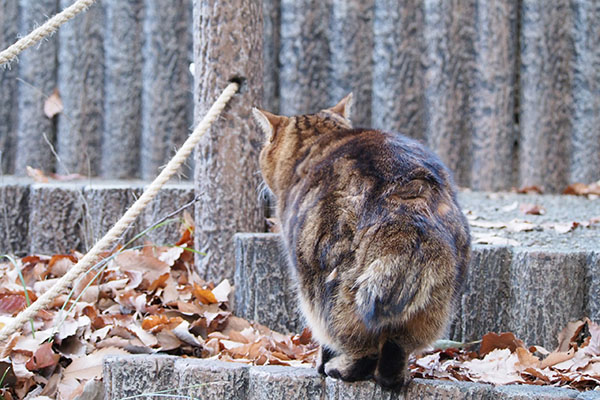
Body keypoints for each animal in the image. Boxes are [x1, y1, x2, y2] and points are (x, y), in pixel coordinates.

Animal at [251, 94, 472, 388]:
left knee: (360, 347)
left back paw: (338, 369)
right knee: (395, 351)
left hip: (331, 292)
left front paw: (321, 363)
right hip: (433, 304)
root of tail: (407, 210)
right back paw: (394, 378)